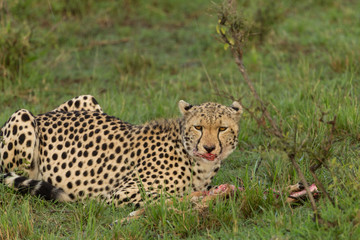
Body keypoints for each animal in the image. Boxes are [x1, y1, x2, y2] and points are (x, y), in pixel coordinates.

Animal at [0, 94, 243, 207]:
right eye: (198, 127)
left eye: (222, 128)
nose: (209, 147)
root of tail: (41, 114)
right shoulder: (120, 193)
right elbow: (167, 196)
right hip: (23, 117)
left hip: (87, 99)